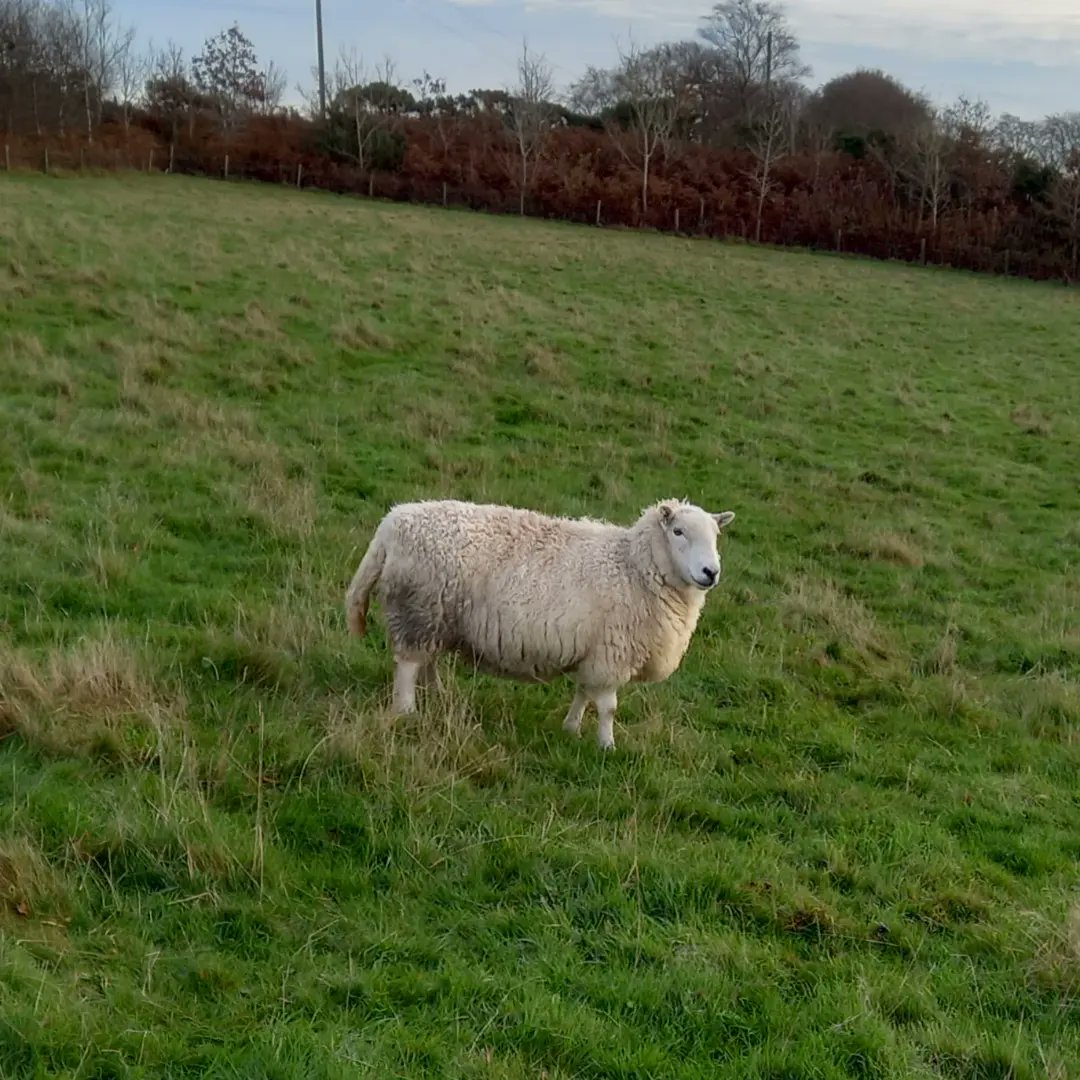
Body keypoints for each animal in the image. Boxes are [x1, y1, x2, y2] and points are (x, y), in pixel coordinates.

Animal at [343, 498, 734, 747]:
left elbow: (583, 693)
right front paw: (606, 745)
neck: (634, 566)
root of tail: (392, 523)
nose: (710, 572)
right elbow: (608, 706)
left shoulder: (594, 652)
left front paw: (571, 729)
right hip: (417, 609)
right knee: (408, 664)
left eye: (716, 536)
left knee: (427, 661)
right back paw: (407, 711)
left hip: (436, 616)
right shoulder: (612, 652)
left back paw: (437, 696)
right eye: (678, 532)